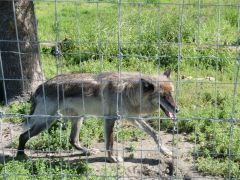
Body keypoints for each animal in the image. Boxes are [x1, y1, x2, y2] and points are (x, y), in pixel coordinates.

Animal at [16, 70, 178, 162]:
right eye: (163, 96)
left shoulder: (133, 118)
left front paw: (165, 151)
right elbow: (110, 144)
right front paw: (113, 159)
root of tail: (40, 86)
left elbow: (155, 134)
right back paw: (21, 156)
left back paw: (87, 151)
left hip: (77, 119)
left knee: (72, 139)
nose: (177, 110)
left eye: (172, 93)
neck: (128, 91)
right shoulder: (110, 120)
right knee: (22, 136)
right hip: (46, 122)